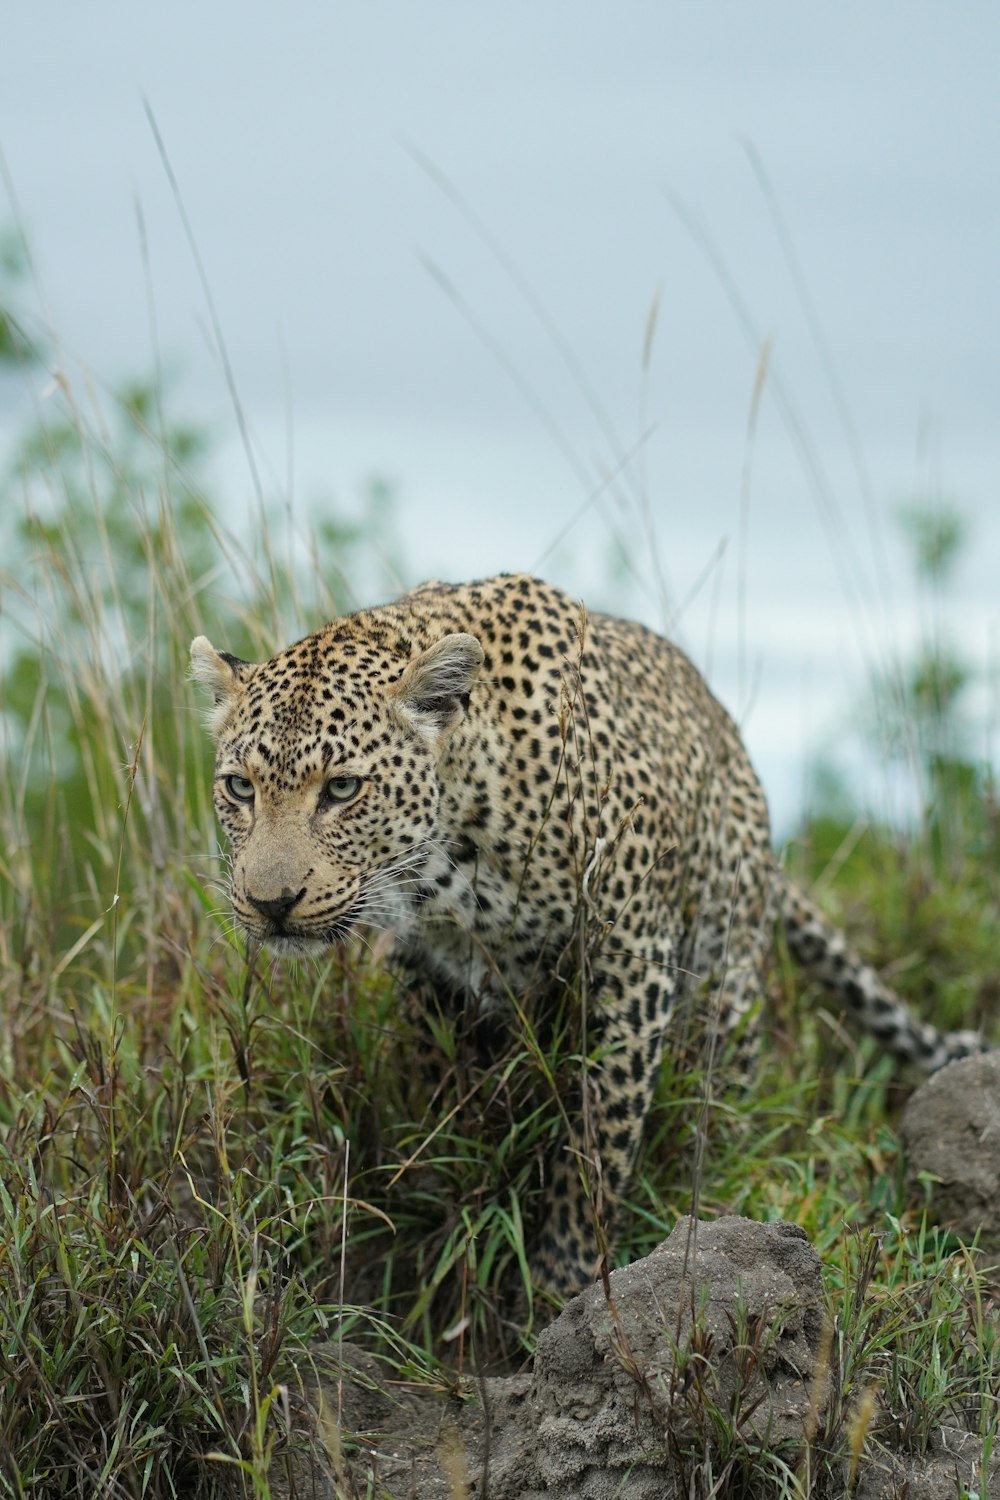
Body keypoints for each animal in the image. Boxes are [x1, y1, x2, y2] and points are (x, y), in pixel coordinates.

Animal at [191, 567, 989, 1296]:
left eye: (343, 789)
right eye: (239, 787)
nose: (270, 902)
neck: (450, 860)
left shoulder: (633, 960)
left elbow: (597, 1148)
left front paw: (567, 1287)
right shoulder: (431, 973)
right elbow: (443, 1115)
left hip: (725, 967)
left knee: (721, 1092)